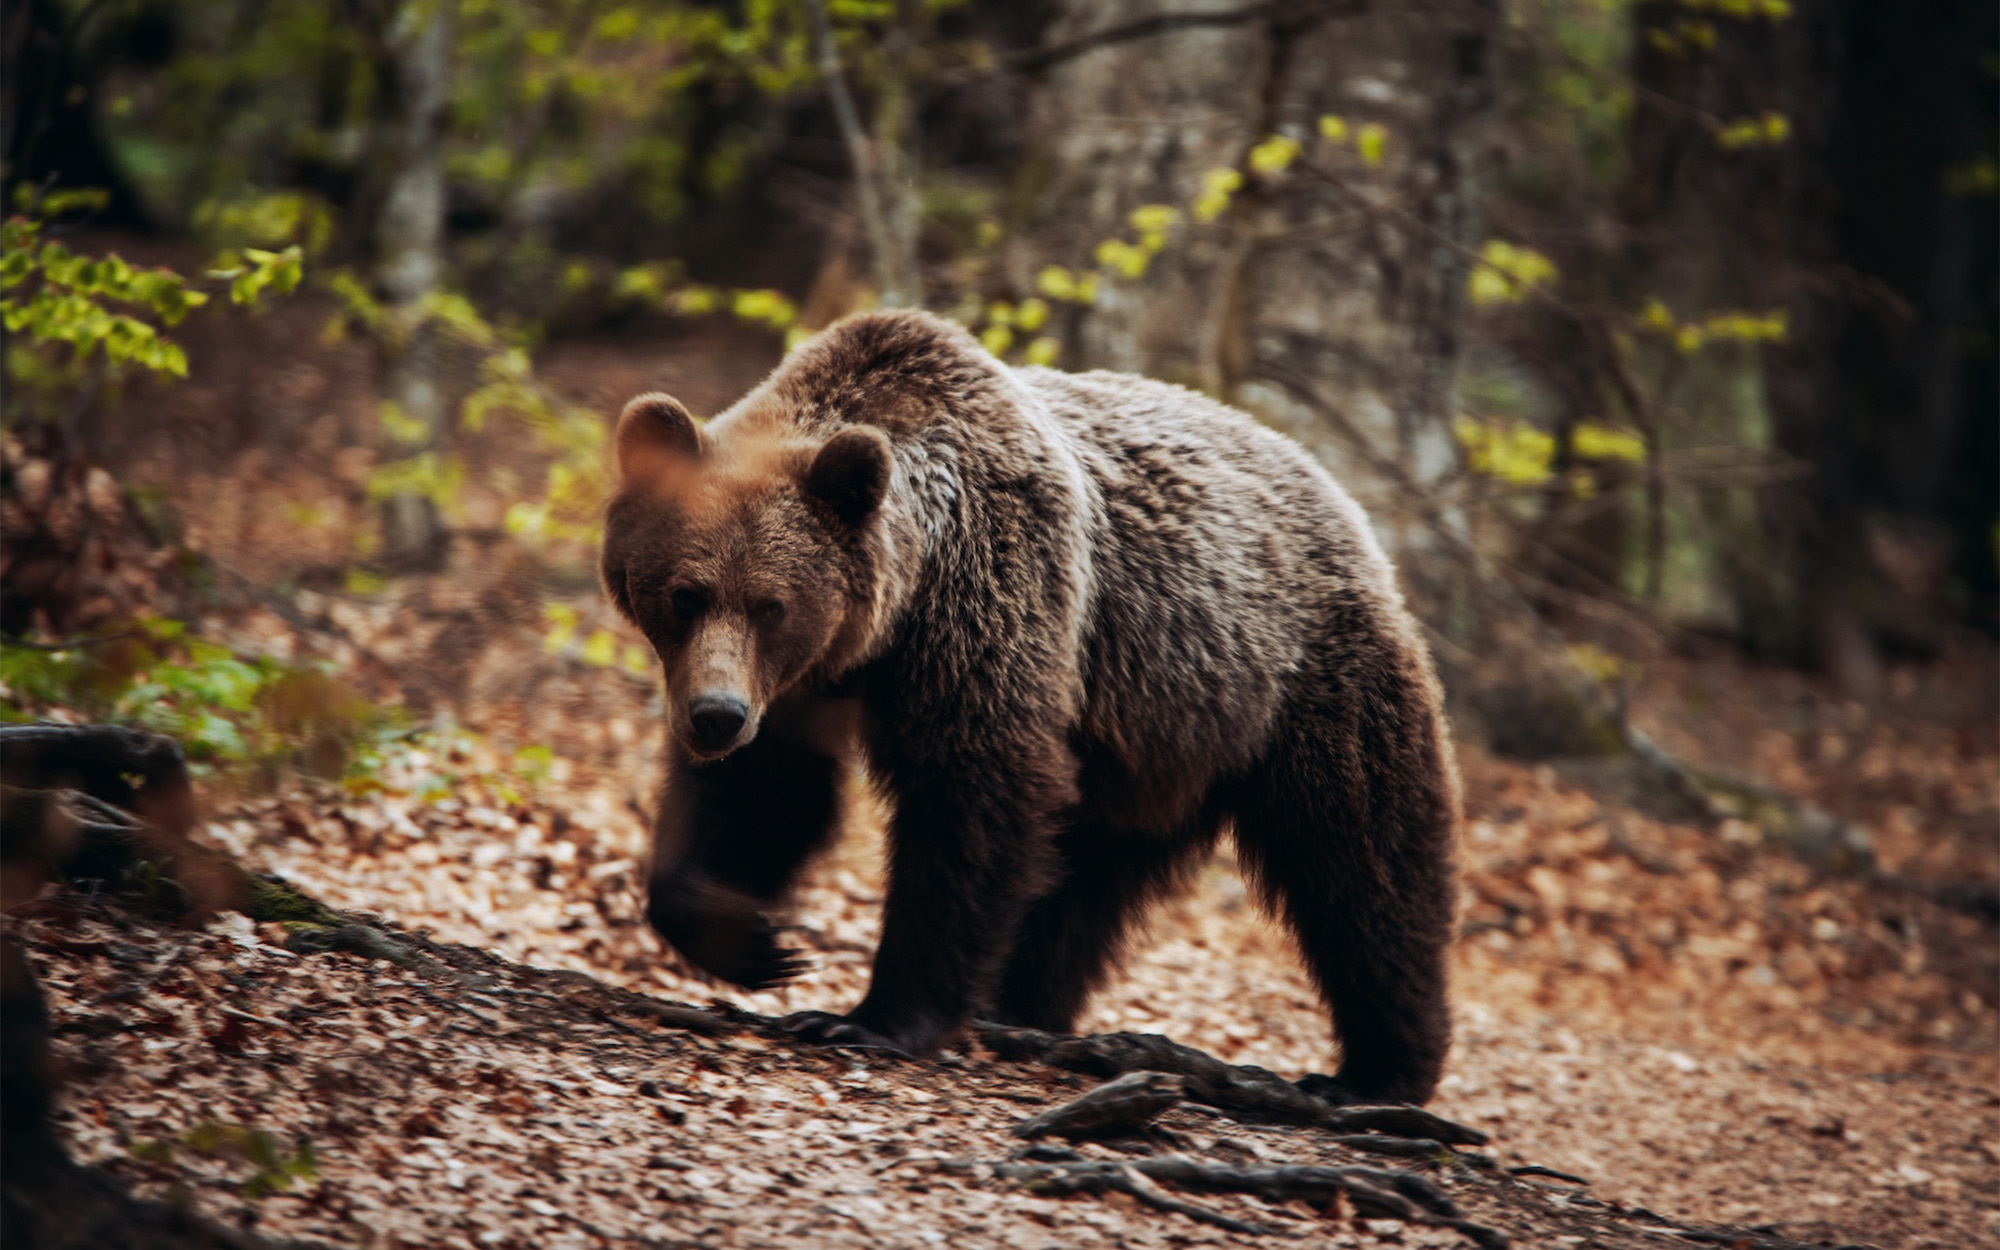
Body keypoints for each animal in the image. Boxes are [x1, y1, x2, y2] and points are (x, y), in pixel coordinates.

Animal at [600, 308, 1464, 1104]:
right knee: (1082, 887)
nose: (715, 716)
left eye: (771, 605)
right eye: (684, 594)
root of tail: (1340, 498)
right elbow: (763, 795)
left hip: (1297, 684)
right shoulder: (799, 688)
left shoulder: (991, 607)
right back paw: (1020, 1012)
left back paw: (1379, 1072)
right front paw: (748, 937)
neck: (890, 624)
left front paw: (871, 1017)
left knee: (1362, 863)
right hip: (1146, 747)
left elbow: (971, 803)